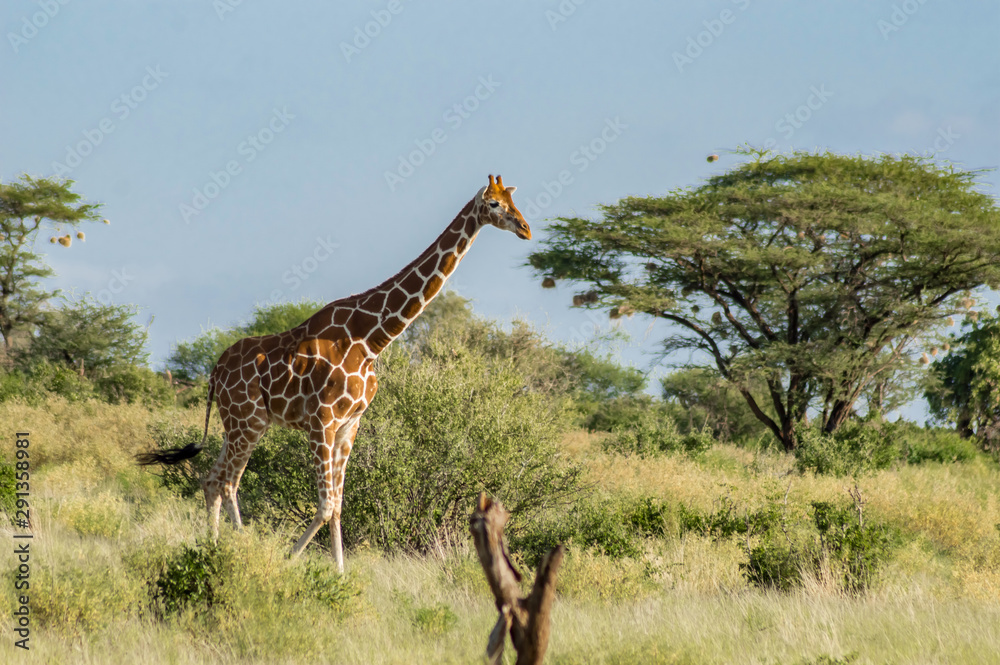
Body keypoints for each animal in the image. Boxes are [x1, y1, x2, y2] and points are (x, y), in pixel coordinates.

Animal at [138, 175, 530, 572]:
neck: (372, 339)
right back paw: (235, 547)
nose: (526, 229)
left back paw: (214, 546)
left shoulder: (349, 425)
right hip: (247, 421)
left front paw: (339, 574)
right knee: (228, 482)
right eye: (494, 204)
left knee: (212, 479)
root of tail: (215, 372)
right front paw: (289, 559)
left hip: (241, 423)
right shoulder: (321, 421)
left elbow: (339, 506)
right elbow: (326, 505)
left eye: (515, 201)